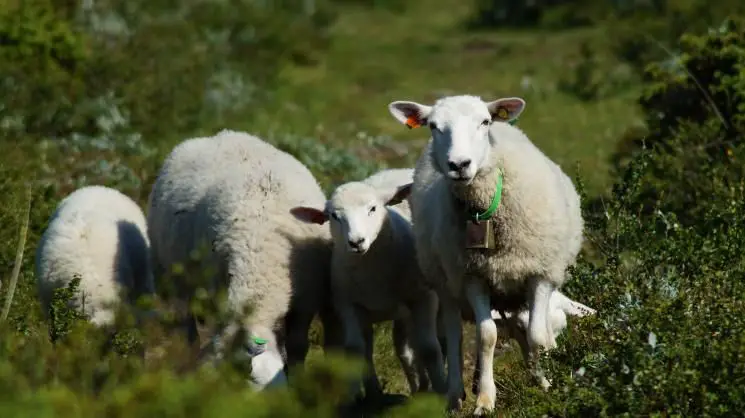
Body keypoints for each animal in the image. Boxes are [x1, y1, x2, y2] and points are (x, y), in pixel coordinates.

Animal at [290, 167, 448, 402]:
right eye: (334, 216)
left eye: (372, 209)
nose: (356, 242)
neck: (374, 272)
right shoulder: (348, 305)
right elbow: (356, 350)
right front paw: (354, 396)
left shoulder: (424, 298)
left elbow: (429, 348)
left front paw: (443, 396)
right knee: (400, 348)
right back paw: (397, 390)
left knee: (433, 343)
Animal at [386, 95, 584, 414]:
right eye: (433, 126)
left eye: (485, 122)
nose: (459, 164)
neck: (485, 210)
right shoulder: (473, 276)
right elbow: (487, 335)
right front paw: (485, 400)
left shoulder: (539, 272)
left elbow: (537, 334)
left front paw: (548, 383)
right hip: (446, 283)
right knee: (453, 335)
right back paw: (456, 395)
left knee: (531, 330)